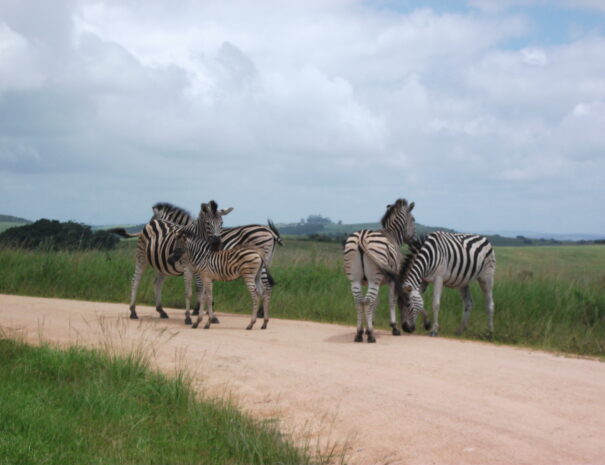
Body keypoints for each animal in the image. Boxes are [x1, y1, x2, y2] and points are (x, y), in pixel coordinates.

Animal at [342, 198, 418, 342]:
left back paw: (359, 333)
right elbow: (391, 301)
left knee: (359, 301)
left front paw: (369, 325)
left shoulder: (372, 282)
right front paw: (394, 327)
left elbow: (375, 303)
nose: (414, 242)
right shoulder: (392, 280)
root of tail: (362, 236)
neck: (392, 235)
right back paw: (371, 336)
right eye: (414, 219)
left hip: (356, 279)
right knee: (367, 301)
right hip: (374, 279)